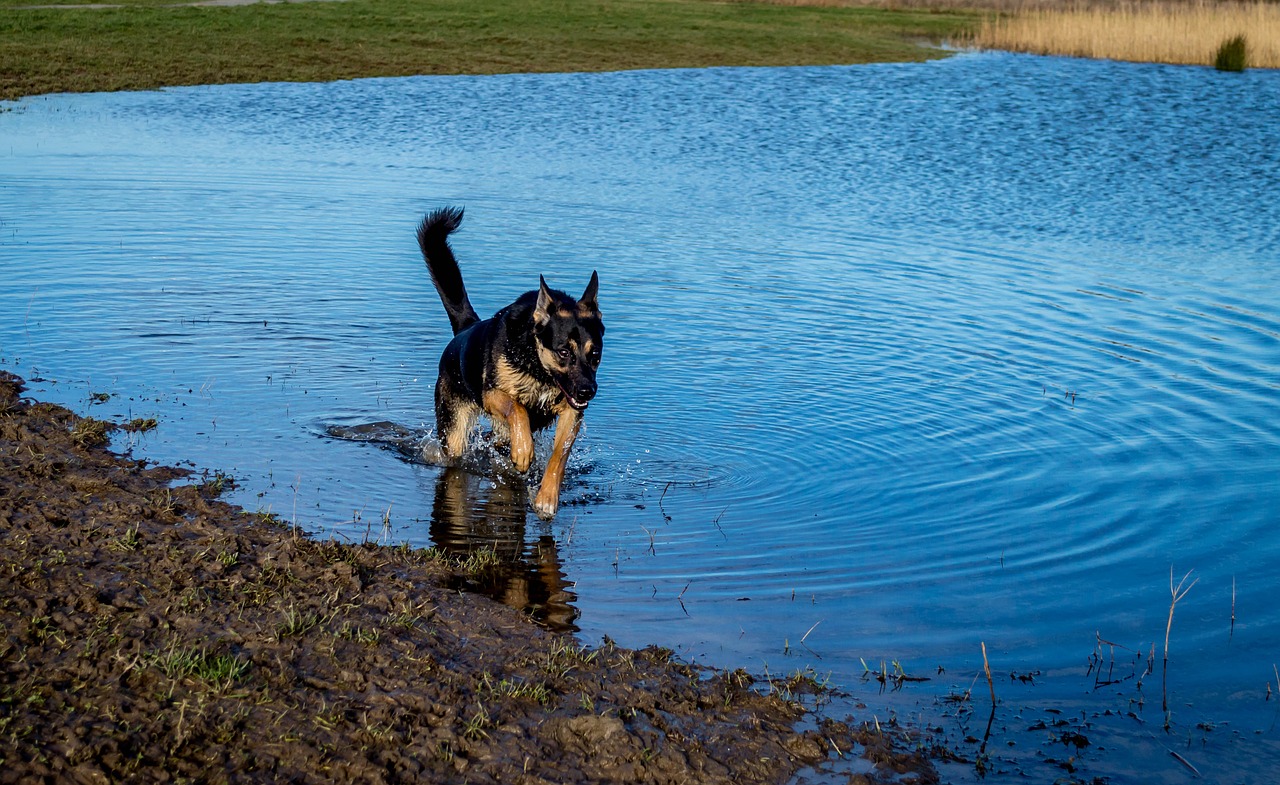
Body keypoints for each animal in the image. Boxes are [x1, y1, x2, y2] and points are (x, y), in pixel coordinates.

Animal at [414, 204, 604, 517]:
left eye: (595, 355)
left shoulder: (571, 412)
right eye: (564, 352)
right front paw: (524, 451)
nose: (588, 391)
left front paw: (547, 497)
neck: (538, 368)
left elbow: (560, 454)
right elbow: (518, 410)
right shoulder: (492, 394)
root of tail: (466, 328)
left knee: (496, 441)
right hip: (455, 432)